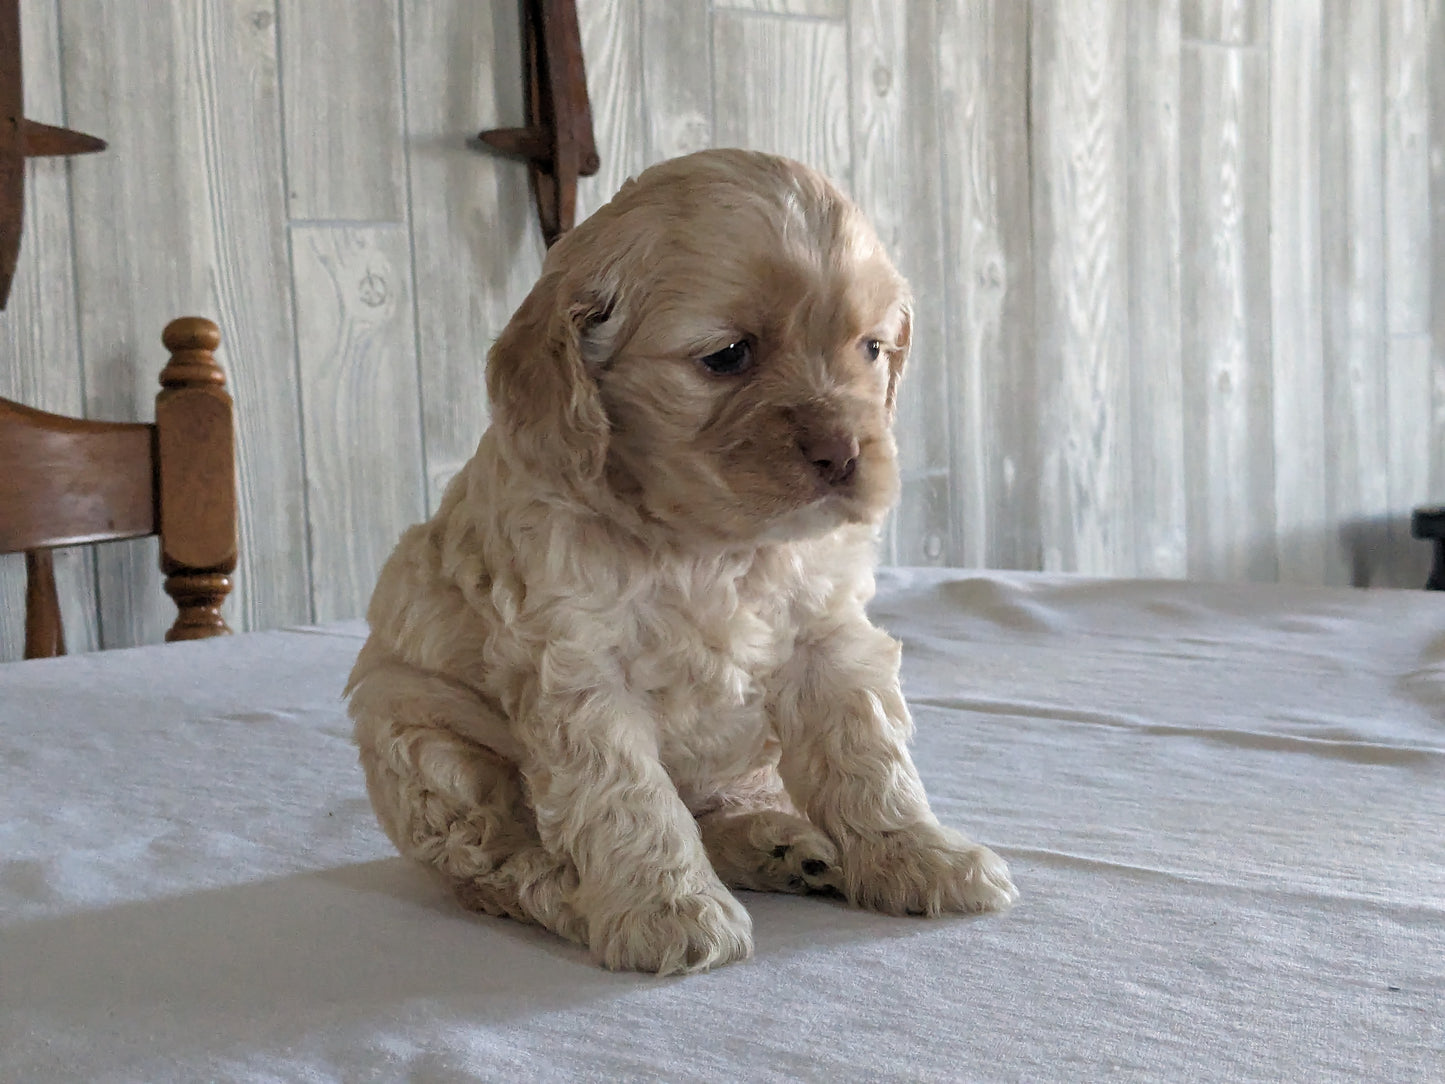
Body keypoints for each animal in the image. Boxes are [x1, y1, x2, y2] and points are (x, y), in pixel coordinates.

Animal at [343, 151, 1017, 977]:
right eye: (727, 356)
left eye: (869, 348)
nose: (843, 454)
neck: (713, 548)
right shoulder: (577, 672)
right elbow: (628, 797)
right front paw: (667, 911)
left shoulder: (827, 640)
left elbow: (868, 759)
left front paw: (920, 856)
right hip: (427, 746)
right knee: (498, 859)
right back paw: (572, 894)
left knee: (716, 808)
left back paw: (781, 845)